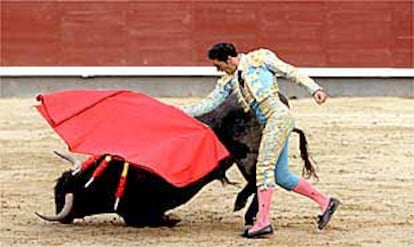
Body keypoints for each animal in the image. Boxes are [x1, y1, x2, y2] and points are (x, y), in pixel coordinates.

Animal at [35, 92, 316, 226]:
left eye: (64, 195)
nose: (60, 215)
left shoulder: (139, 212)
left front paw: (172, 220)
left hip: (250, 155)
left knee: (259, 181)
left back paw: (244, 211)